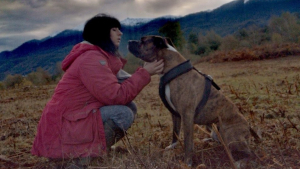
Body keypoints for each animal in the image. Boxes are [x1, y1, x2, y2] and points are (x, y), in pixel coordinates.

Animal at [127, 35, 252, 166]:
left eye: (143, 41)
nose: (129, 41)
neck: (172, 68)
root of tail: (248, 128)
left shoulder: (186, 115)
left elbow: (188, 142)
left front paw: (187, 162)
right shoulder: (175, 114)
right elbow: (175, 132)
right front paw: (172, 146)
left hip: (230, 136)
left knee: (249, 153)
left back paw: (240, 162)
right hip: (215, 130)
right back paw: (208, 140)